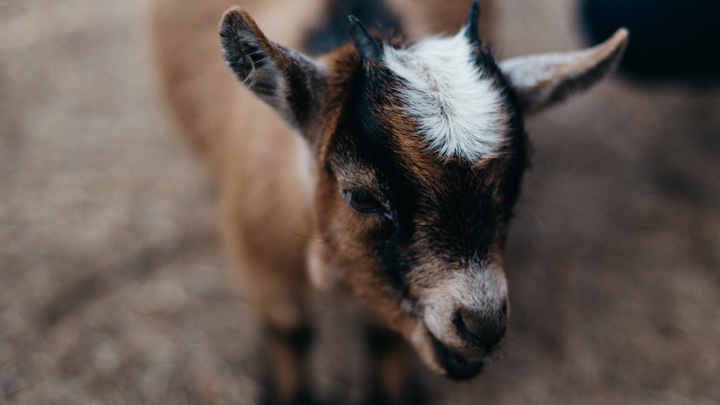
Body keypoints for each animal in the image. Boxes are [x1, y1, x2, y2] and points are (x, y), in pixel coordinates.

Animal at [150, 0, 628, 403]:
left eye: (516, 182)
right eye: (361, 197)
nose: (483, 326)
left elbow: (382, 337)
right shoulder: (258, 258)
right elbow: (291, 333)